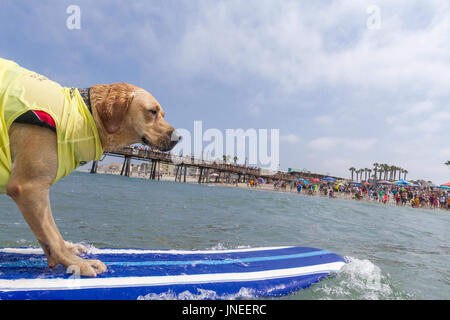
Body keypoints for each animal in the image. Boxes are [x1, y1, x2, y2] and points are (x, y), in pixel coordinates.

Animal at [2, 58, 181, 276]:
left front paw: (68, 252)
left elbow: (48, 235)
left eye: (162, 114)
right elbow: (52, 234)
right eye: (152, 111)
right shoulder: (29, 186)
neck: (85, 113)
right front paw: (78, 263)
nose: (179, 137)